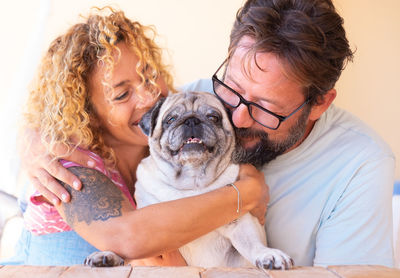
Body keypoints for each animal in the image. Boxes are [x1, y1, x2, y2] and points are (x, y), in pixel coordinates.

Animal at [86, 92, 292, 270]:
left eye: (213, 117)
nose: (191, 120)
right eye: (170, 119)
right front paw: (109, 254)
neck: (191, 181)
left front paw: (268, 254)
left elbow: (253, 244)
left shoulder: (241, 223)